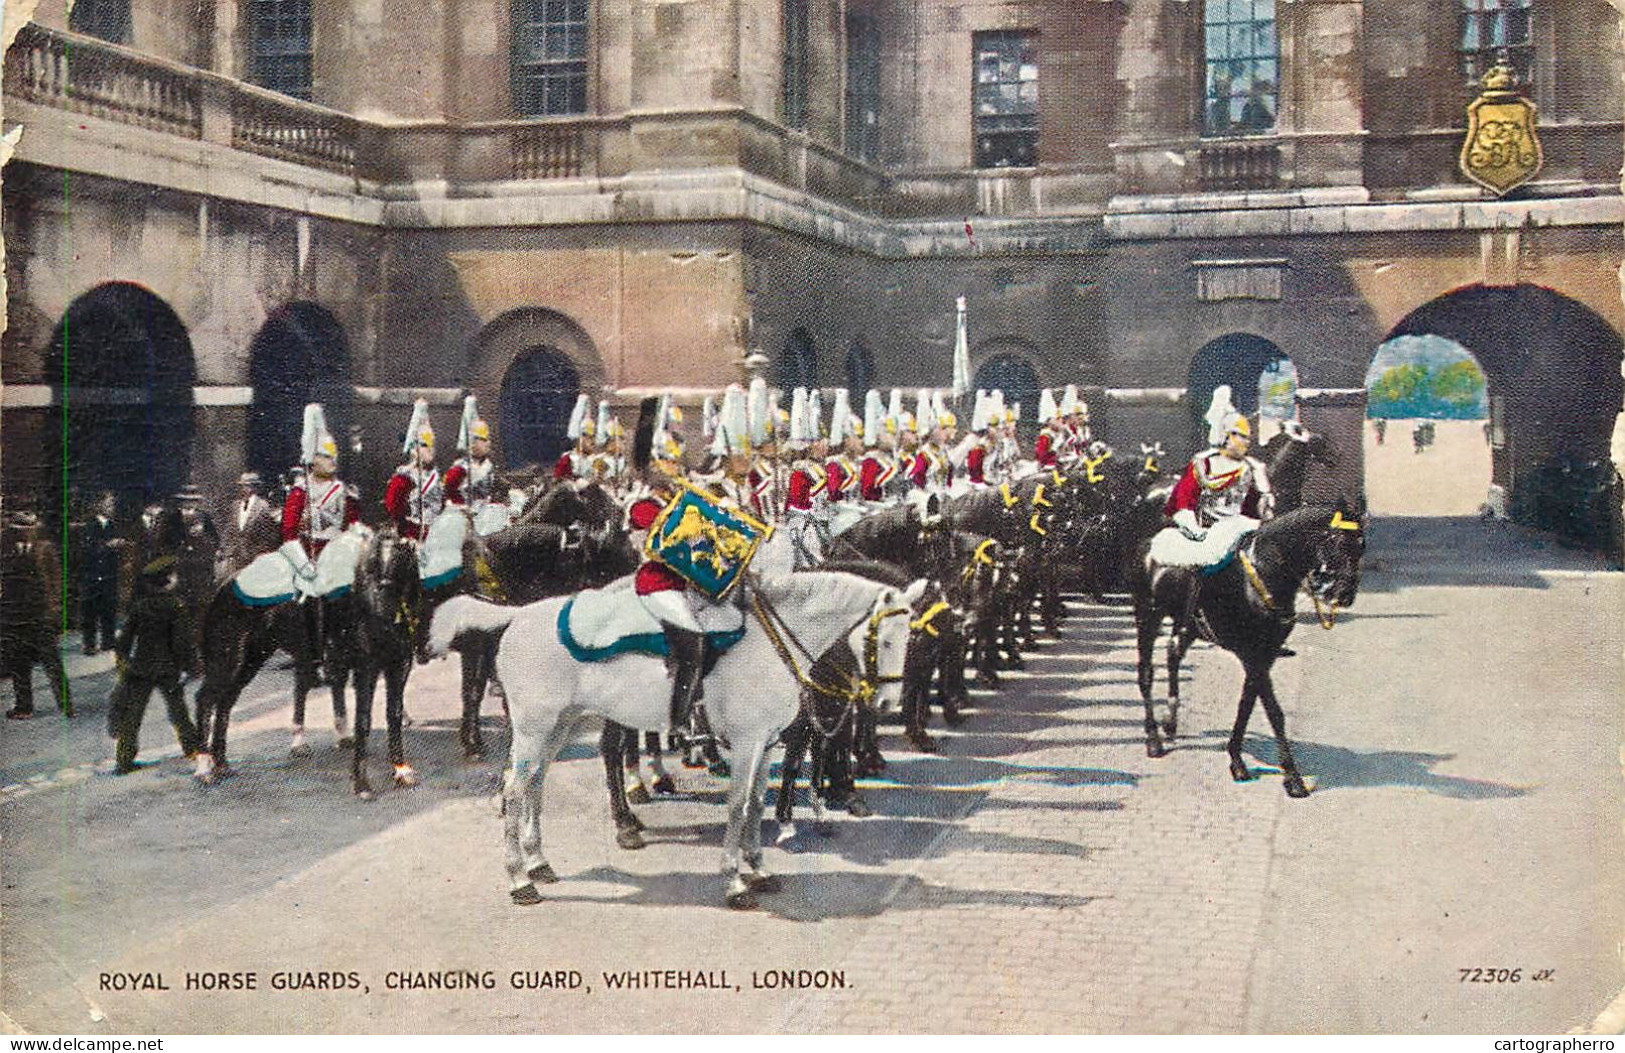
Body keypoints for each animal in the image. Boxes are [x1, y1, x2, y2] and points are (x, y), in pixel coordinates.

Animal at [425, 572, 923, 910]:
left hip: (558, 726)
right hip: (533, 727)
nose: (886, 702)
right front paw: (734, 882)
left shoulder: (764, 743)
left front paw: (759, 869)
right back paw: (519, 880)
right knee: (513, 790)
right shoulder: (746, 742)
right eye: (886, 639)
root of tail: (519, 615)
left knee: (533, 785)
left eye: (910, 637)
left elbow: (756, 804)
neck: (770, 643)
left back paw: (538, 863)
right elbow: (738, 806)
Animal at [1131, 507, 1371, 793]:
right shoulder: (1252, 656)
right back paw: (1153, 739)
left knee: (1173, 654)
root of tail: (1149, 543)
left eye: (1361, 545)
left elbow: (1247, 704)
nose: (1345, 595)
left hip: (1188, 624)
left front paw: (1237, 760)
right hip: (1148, 617)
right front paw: (1292, 778)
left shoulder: (1264, 656)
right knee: (1146, 674)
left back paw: (1170, 721)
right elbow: (1273, 711)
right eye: (1337, 541)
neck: (1262, 574)